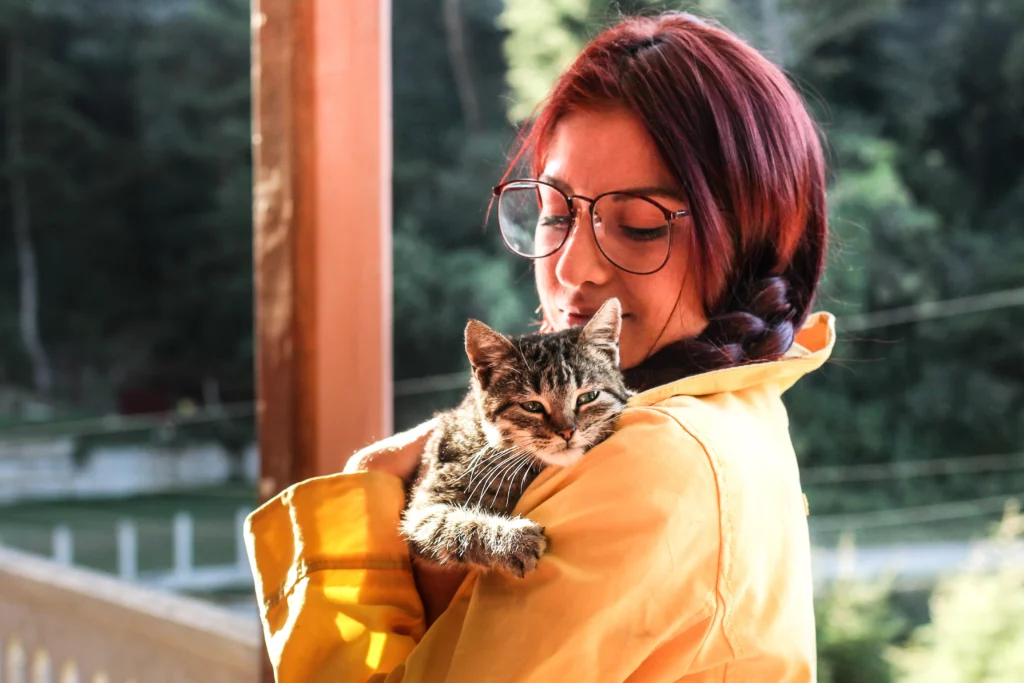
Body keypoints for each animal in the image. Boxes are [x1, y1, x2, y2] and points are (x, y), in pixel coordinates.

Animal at [401, 296, 630, 577]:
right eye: (532, 406)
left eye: (588, 397)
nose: (567, 431)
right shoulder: (424, 510)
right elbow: (458, 526)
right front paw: (512, 540)